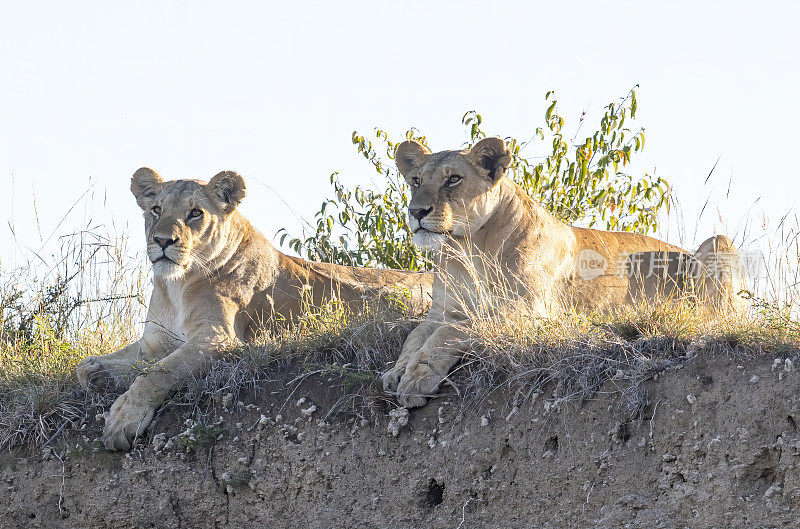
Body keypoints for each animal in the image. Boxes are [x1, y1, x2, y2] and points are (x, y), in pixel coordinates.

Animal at [76, 169, 432, 450]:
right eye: (155, 209)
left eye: (195, 213)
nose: (163, 241)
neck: (175, 285)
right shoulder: (155, 342)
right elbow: (88, 367)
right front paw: (99, 375)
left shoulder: (219, 339)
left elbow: (159, 372)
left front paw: (123, 417)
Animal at [384, 138, 748, 406]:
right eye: (416, 181)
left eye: (453, 179)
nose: (416, 211)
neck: (469, 248)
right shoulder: (444, 311)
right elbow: (416, 335)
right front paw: (397, 371)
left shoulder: (527, 311)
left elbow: (454, 332)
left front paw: (417, 376)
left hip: (719, 245)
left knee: (717, 316)